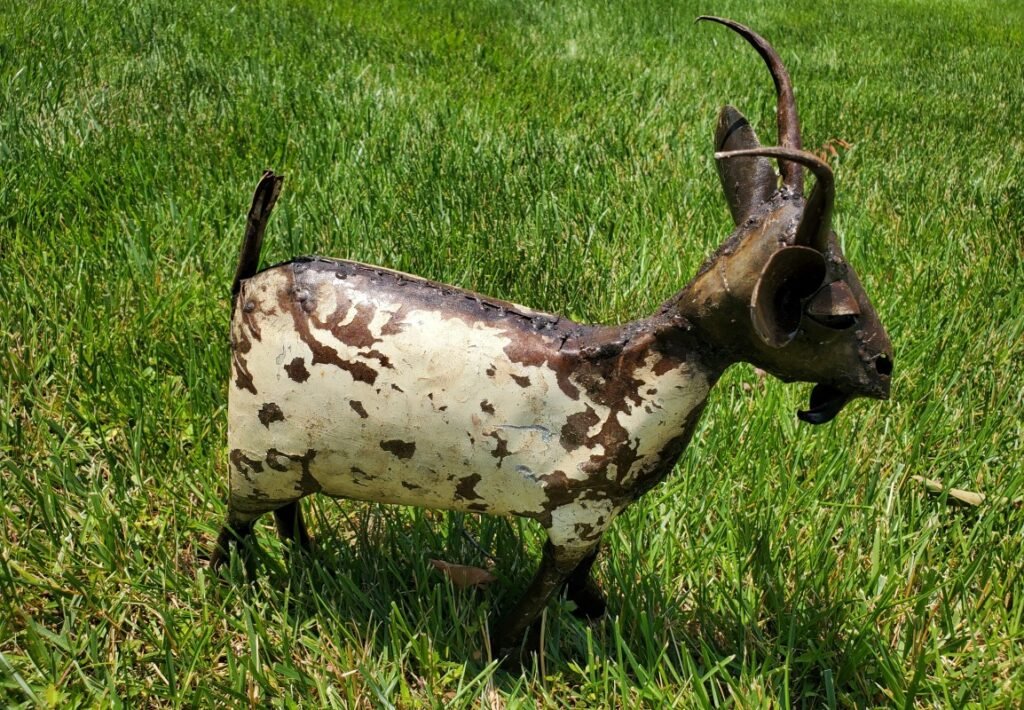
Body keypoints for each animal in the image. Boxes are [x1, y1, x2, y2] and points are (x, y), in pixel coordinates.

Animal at [211, 17, 893, 657]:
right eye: (836, 314)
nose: (886, 368)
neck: (632, 374)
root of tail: (251, 277)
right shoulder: (577, 512)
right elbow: (545, 587)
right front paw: (501, 653)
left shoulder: (593, 518)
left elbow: (581, 580)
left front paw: (597, 617)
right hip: (255, 455)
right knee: (235, 524)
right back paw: (222, 586)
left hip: (294, 456)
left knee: (286, 511)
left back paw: (309, 561)